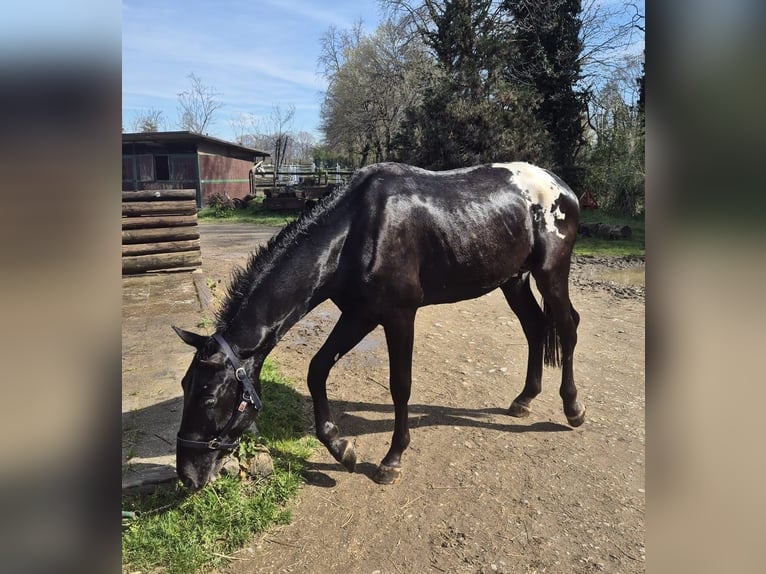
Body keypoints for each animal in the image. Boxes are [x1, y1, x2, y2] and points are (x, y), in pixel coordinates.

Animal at [173, 161, 584, 490]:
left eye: (208, 397)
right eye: (184, 386)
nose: (187, 476)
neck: (355, 231)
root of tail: (561, 187)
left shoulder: (399, 316)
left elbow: (400, 385)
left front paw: (391, 460)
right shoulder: (359, 315)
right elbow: (317, 369)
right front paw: (341, 449)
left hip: (550, 273)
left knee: (567, 327)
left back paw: (572, 408)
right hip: (513, 280)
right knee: (535, 327)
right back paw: (524, 399)